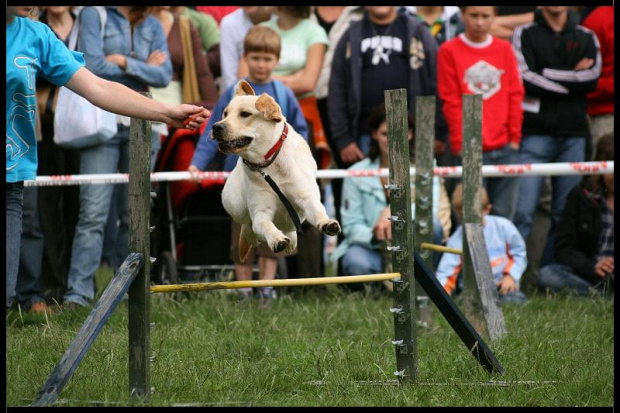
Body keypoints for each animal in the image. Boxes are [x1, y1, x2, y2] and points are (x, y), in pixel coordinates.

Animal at [212, 80, 340, 260]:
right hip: (234, 205)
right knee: (247, 225)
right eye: (225, 113)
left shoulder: (306, 196)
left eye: (245, 114)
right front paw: (277, 239)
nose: (216, 127)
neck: (269, 163)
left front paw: (327, 223)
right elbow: (264, 224)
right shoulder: (261, 212)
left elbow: (317, 209)